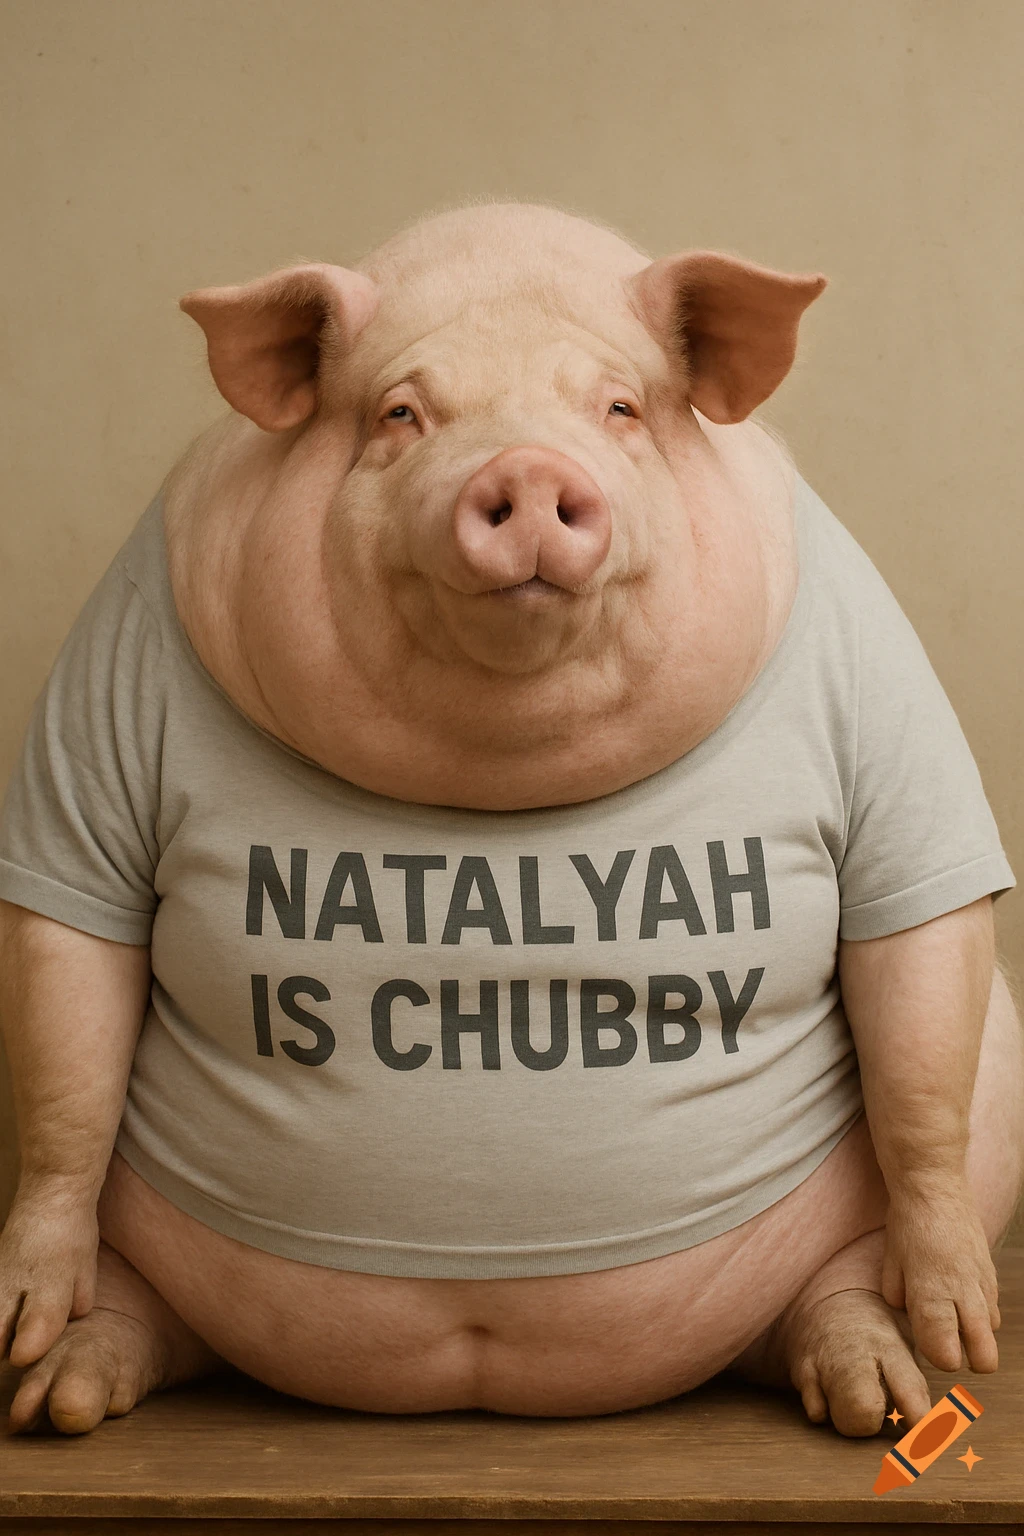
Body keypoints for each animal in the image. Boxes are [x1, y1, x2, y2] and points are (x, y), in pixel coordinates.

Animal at [0, 198, 1021, 1440]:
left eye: (620, 408)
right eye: (400, 413)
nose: (528, 467)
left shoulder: (884, 705)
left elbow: (913, 997)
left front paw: (965, 1337)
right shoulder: (102, 699)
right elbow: (70, 1018)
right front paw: (16, 1324)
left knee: (839, 1278)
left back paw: (883, 1396)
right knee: (135, 1295)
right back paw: (59, 1392)